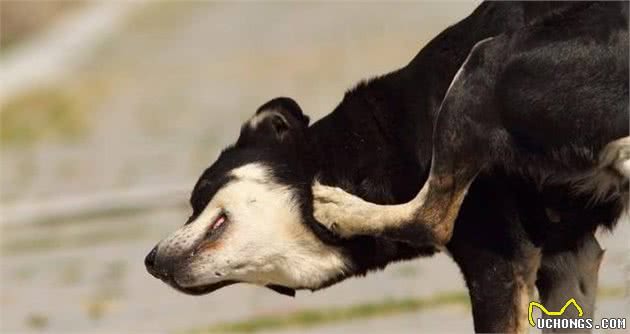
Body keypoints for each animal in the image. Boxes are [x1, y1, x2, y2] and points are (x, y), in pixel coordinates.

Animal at [147, 1, 628, 332]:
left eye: (199, 195)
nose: (150, 262)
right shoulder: (569, 260)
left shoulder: (499, 264)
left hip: (483, 64)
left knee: (430, 219)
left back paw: (343, 209)